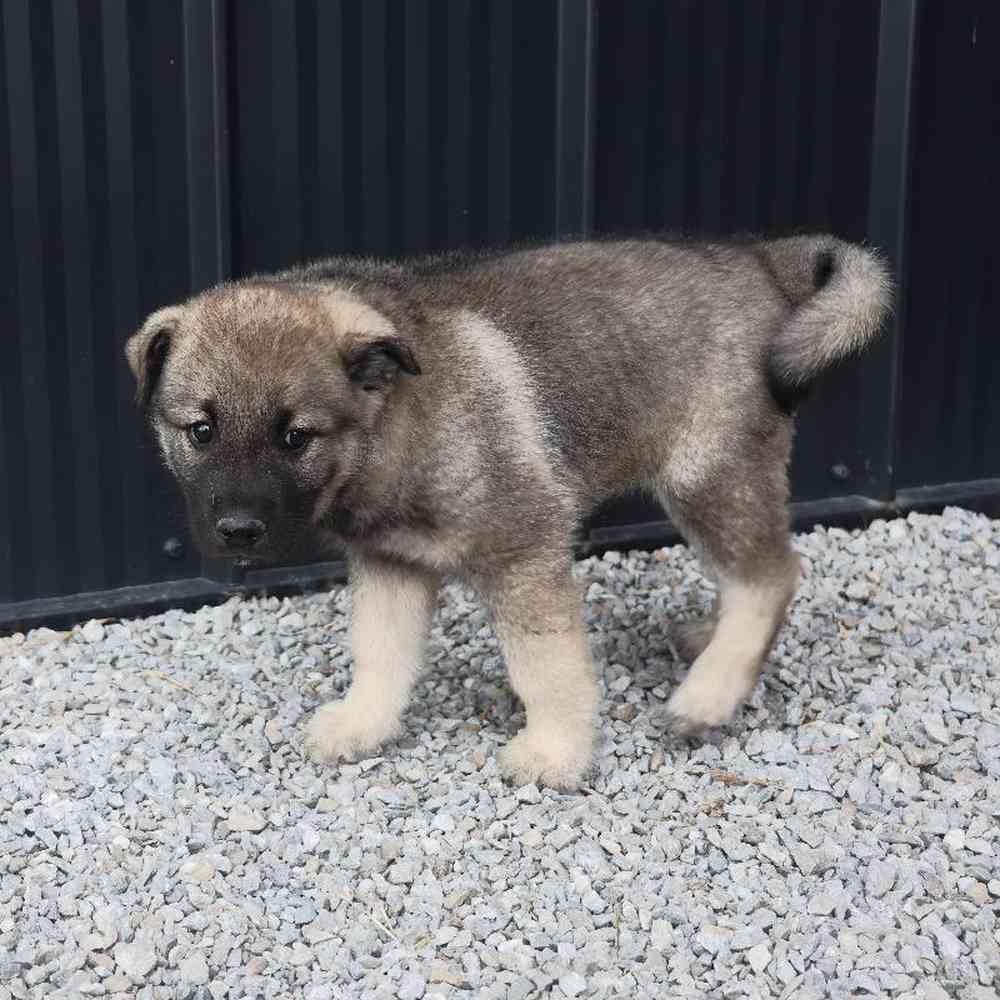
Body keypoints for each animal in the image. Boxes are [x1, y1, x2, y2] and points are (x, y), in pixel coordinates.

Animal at [127, 236, 892, 788]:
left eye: (295, 437)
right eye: (201, 431)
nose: (237, 533)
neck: (396, 421)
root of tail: (762, 262)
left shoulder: (524, 551)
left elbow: (546, 666)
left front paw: (555, 752)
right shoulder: (389, 564)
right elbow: (380, 653)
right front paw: (362, 724)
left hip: (707, 474)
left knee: (770, 576)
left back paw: (709, 692)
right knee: (746, 574)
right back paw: (711, 639)